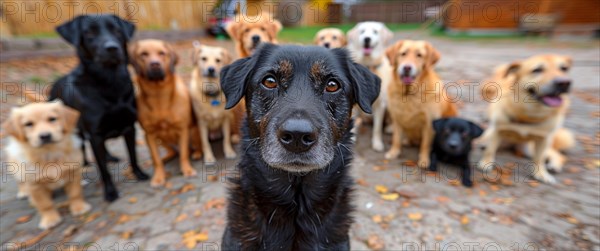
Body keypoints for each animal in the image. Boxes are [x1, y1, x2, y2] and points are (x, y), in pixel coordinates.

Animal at [49, 14, 150, 201]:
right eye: (89, 33)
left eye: (117, 30)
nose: (112, 48)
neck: (110, 84)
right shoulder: (95, 133)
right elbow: (103, 170)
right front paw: (110, 192)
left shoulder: (129, 127)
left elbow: (133, 156)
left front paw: (139, 174)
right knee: (81, 146)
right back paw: (85, 163)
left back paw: (109, 156)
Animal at [129, 38, 202, 186]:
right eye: (143, 54)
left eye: (162, 53)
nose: (155, 64)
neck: (159, 96)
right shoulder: (149, 134)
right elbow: (155, 158)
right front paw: (158, 177)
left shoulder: (183, 129)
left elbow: (184, 155)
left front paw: (187, 170)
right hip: (158, 139)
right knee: (171, 153)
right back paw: (165, 158)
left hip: (193, 131)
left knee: (189, 150)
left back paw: (196, 153)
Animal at [344, 21, 396, 151]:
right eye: (362, 31)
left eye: (375, 32)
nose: (367, 39)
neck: (368, 64)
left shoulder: (380, 104)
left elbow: (377, 128)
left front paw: (377, 143)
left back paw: (389, 128)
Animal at [478, 54, 576, 183]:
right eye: (537, 70)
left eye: (564, 68)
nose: (564, 83)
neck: (530, 114)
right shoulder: (497, 130)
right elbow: (490, 150)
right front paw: (486, 164)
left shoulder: (544, 139)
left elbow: (539, 159)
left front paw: (541, 174)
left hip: (531, 148)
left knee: (557, 155)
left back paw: (554, 165)